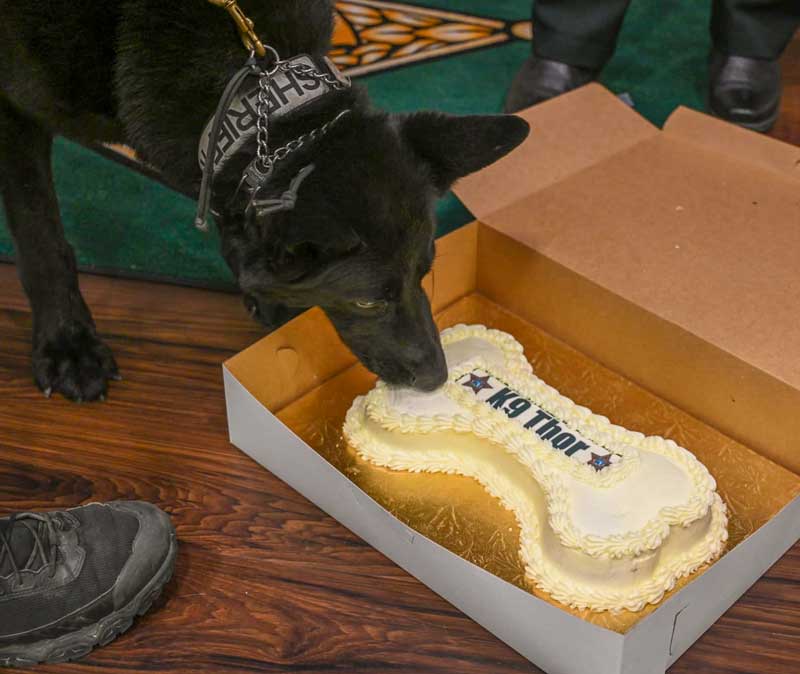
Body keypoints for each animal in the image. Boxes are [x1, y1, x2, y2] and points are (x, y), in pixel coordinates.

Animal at [0, 1, 529, 401]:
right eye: (364, 301)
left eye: (425, 273)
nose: (438, 378)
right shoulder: (14, 109)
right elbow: (41, 236)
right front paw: (68, 343)